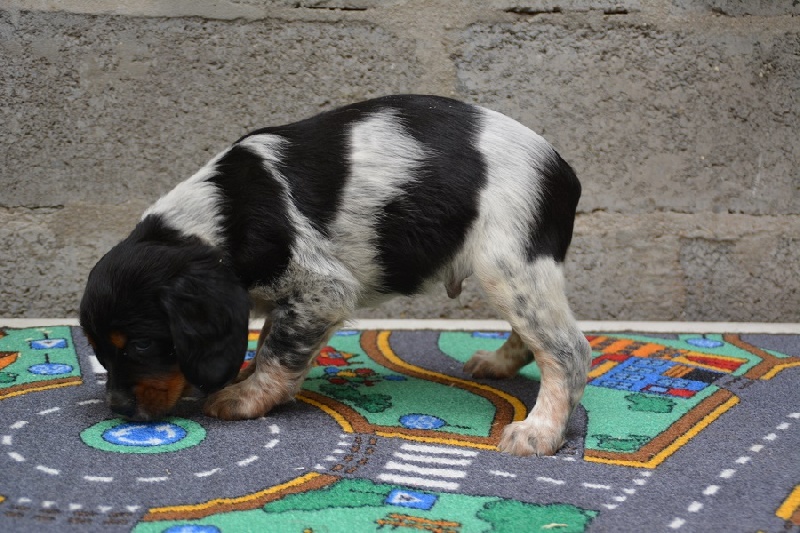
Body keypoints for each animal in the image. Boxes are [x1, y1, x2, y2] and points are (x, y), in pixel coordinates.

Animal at [79, 94, 592, 456]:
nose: (118, 409)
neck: (219, 215)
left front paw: (244, 396)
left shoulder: (321, 289)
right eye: (99, 349)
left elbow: (278, 351)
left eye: (141, 345)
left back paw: (540, 432)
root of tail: (564, 171)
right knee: (534, 337)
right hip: (516, 275)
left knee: (569, 351)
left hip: (508, 265)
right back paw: (498, 364)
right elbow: (271, 339)